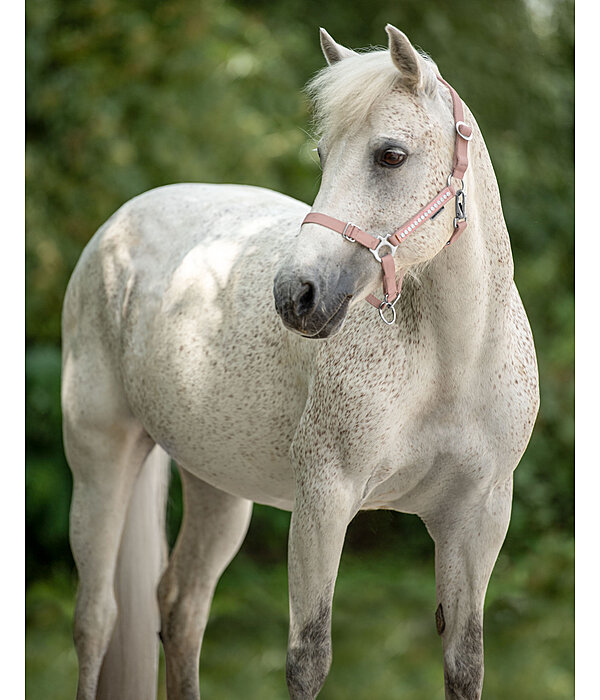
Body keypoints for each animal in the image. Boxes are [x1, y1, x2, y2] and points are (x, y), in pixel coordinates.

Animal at [61, 24, 540, 700]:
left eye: (390, 156)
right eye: (321, 156)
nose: (296, 295)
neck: (452, 362)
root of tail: (121, 224)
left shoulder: (477, 519)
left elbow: (464, 664)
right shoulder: (324, 502)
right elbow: (308, 659)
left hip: (217, 487)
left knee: (181, 607)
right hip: (101, 458)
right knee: (96, 617)